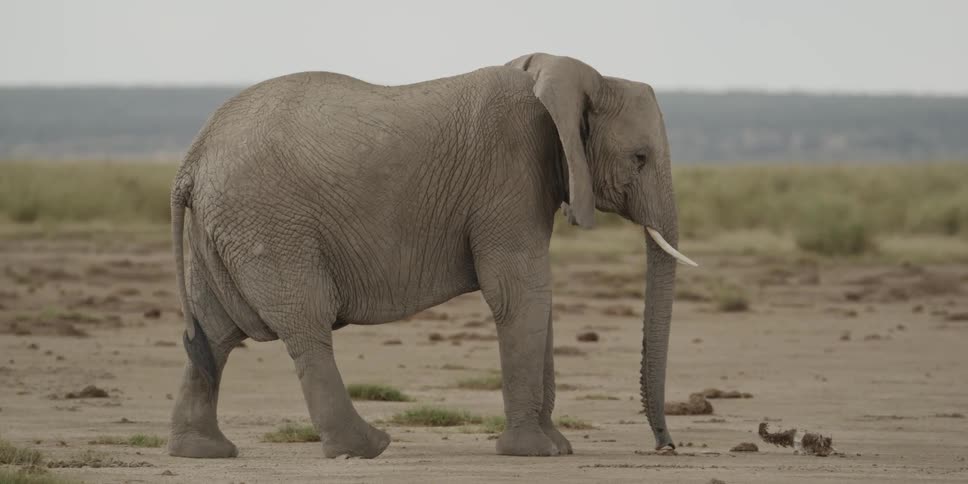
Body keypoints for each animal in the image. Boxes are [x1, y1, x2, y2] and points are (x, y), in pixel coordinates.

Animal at [167, 52, 697, 459]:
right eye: (640, 159)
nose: (665, 446)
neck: (558, 75)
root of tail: (192, 159)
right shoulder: (508, 174)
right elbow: (519, 293)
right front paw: (534, 452)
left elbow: (535, 299)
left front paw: (558, 448)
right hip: (270, 224)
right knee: (305, 323)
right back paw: (366, 448)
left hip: (226, 227)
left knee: (212, 332)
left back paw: (204, 452)